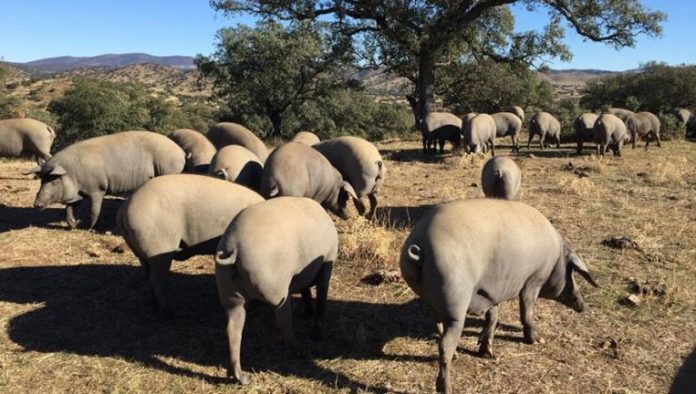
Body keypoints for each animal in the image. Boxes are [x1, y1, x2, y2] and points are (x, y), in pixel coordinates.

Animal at [24, 132, 185, 229]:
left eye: (53, 180)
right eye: (42, 181)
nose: (36, 204)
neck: (73, 173)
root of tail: (180, 152)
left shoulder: (97, 189)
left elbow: (95, 210)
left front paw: (89, 228)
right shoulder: (79, 193)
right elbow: (70, 207)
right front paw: (72, 225)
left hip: (169, 169)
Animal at [118, 174, 262, 316]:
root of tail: (124, 210)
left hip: (142, 254)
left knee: (147, 276)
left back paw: (153, 305)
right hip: (158, 251)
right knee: (156, 280)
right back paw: (167, 311)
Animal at [216, 197, 338, 384]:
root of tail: (234, 248)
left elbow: (306, 292)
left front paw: (308, 312)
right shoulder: (326, 266)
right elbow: (321, 298)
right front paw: (317, 334)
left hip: (229, 294)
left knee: (233, 329)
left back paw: (240, 377)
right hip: (277, 291)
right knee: (283, 320)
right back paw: (298, 350)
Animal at [402, 200, 600, 394]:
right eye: (571, 272)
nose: (584, 306)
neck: (555, 261)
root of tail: (419, 247)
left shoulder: (490, 293)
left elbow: (493, 318)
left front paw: (487, 353)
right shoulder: (533, 281)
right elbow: (526, 313)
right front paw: (535, 341)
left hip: (434, 302)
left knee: (438, 327)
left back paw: (458, 356)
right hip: (455, 303)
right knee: (445, 344)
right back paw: (446, 387)